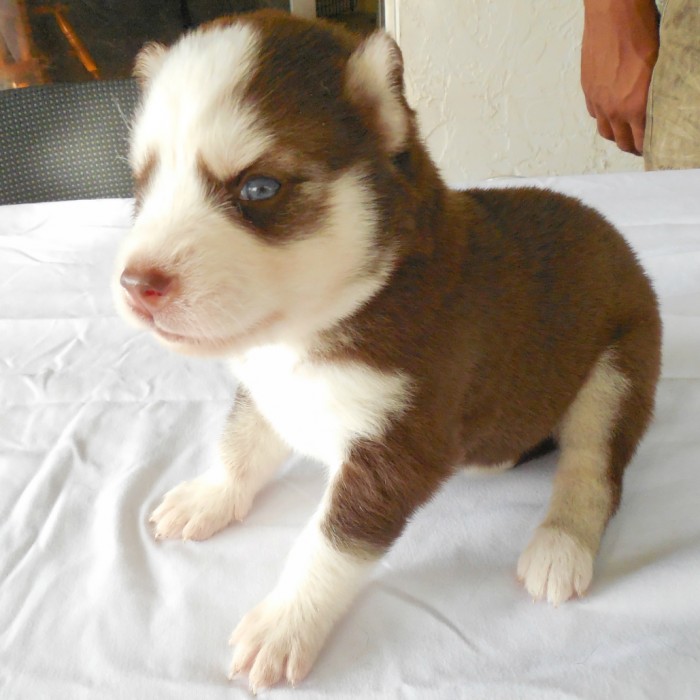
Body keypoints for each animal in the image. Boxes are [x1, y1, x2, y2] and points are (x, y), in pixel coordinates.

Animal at [113, 8, 660, 692]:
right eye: (143, 184)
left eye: (259, 188)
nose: (137, 284)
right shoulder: (266, 387)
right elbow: (240, 444)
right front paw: (211, 494)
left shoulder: (397, 444)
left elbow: (328, 542)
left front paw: (284, 621)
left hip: (618, 369)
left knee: (594, 468)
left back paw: (560, 545)